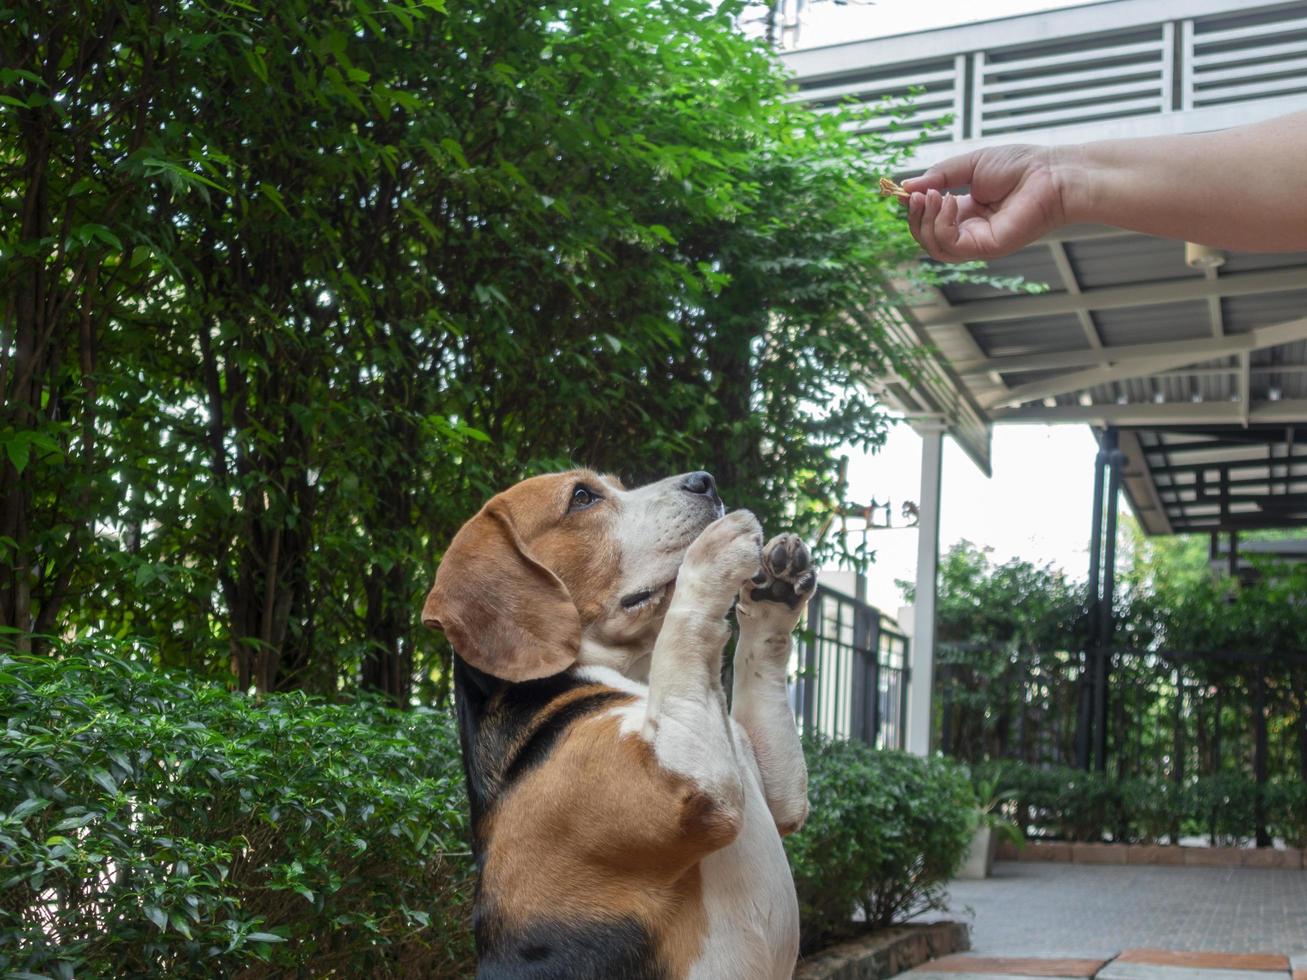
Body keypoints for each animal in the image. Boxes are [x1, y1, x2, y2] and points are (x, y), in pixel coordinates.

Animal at [420, 473, 815, 977]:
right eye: (582, 497)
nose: (704, 481)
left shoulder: (780, 796)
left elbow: (758, 663)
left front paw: (774, 597)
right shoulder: (688, 785)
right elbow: (682, 624)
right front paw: (712, 551)